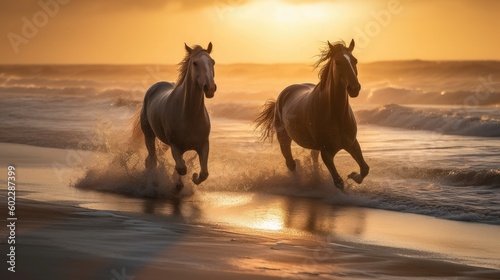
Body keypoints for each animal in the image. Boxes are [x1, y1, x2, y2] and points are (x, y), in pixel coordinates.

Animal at [258, 39, 368, 191]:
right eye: (338, 62)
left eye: (355, 60)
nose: (354, 88)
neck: (336, 114)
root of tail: (283, 95)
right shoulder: (326, 153)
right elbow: (339, 182)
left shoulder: (352, 144)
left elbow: (364, 169)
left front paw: (352, 175)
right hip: (284, 138)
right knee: (291, 163)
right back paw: (298, 185)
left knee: (312, 158)